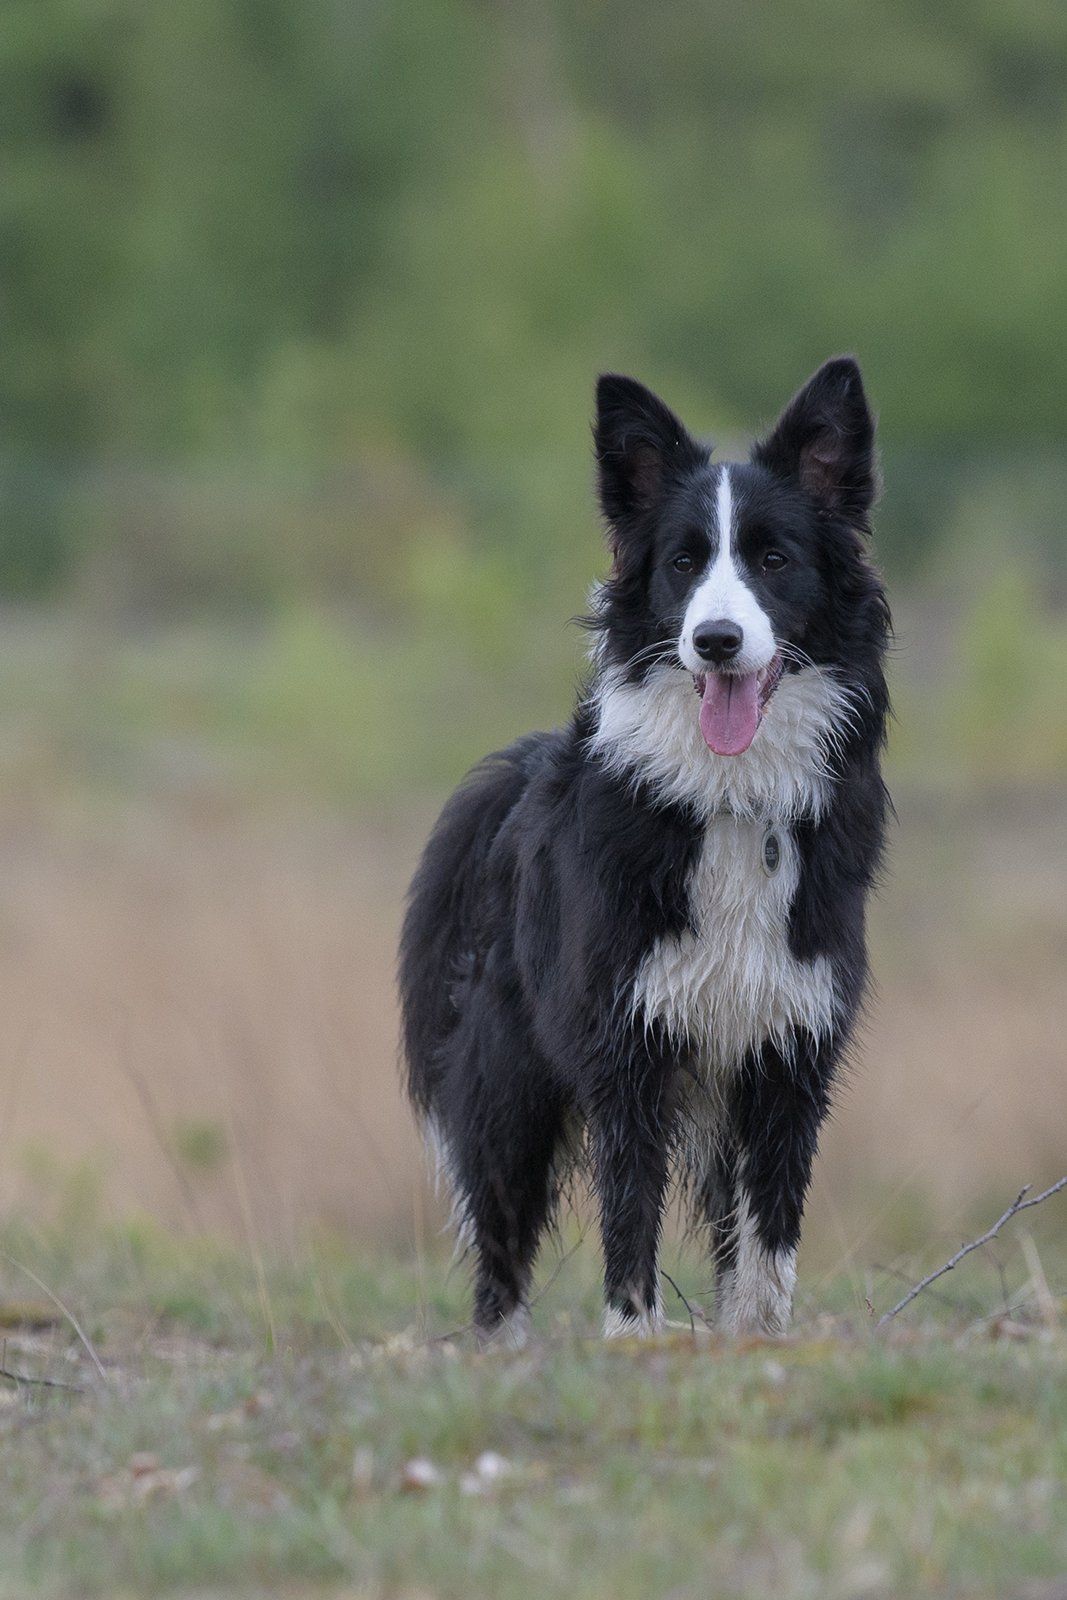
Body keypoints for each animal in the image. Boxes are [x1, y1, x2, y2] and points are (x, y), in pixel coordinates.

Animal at [399, 358, 890, 1344]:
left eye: (773, 560)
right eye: (683, 563)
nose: (715, 640)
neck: (731, 804)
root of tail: (514, 768)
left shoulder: (788, 1045)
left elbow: (767, 1239)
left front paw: (756, 1343)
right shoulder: (626, 1041)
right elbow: (630, 1217)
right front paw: (632, 1342)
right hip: (507, 1084)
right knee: (499, 1248)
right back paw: (501, 1350)